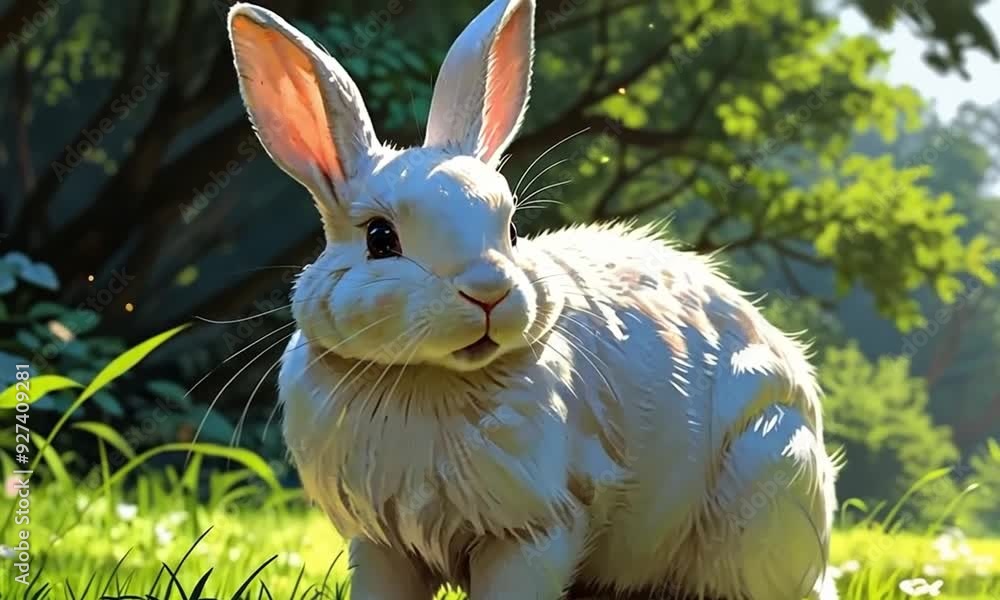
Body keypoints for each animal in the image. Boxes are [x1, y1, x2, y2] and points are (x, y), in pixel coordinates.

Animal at [227, 1, 839, 599]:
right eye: (380, 239)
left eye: (513, 231)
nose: (489, 293)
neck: (428, 382)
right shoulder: (382, 544)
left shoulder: (532, 530)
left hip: (767, 476)